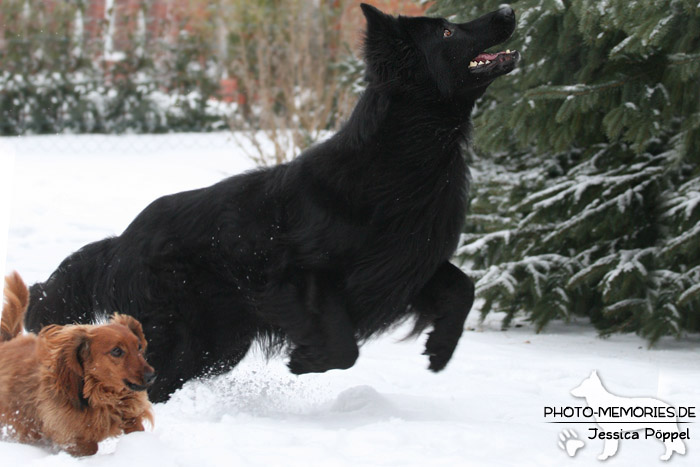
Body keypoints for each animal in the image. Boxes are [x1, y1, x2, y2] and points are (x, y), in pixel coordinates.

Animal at [0, 272, 154, 456]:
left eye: (139, 347)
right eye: (117, 351)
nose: (152, 376)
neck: (97, 393)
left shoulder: (129, 414)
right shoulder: (72, 436)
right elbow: (89, 447)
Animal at [26, 3, 520, 402]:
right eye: (447, 33)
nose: (508, 9)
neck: (398, 158)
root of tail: (120, 242)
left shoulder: (402, 262)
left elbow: (464, 287)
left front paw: (440, 349)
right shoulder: (297, 277)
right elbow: (344, 346)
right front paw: (307, 361)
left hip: (216, 346)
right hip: (179, 336)